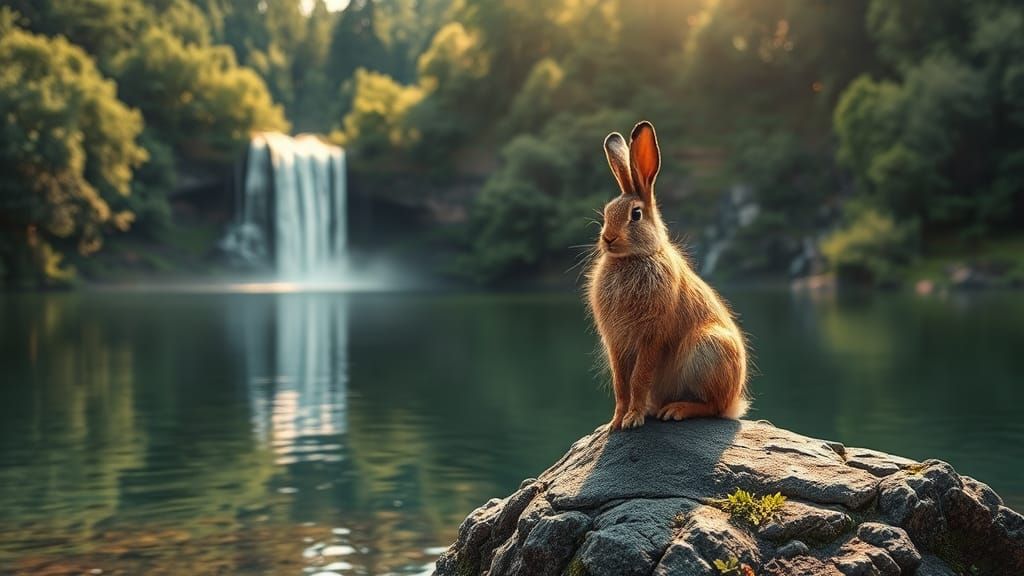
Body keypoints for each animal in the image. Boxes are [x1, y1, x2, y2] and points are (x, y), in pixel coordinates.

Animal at [586, 121, 749, 430]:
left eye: (636, 215)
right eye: (606, 213)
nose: (608, 239)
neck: (634, 258)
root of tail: (736, 400)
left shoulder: (651, 336)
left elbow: (639, 379)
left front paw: (633, 420)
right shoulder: (616, 343)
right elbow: (621, 384)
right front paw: (616, 422)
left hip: (709, 351)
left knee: (713, 407)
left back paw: (675, 410)